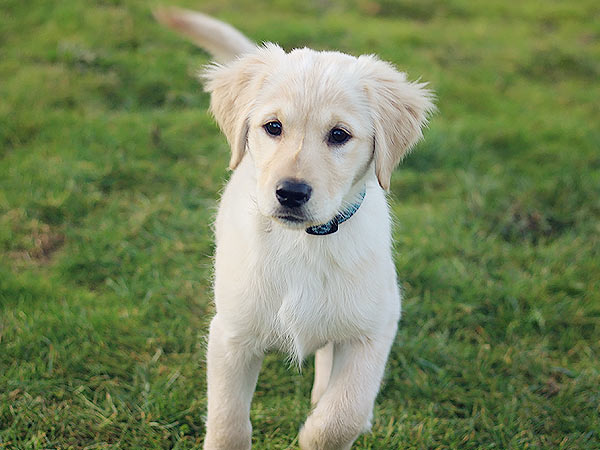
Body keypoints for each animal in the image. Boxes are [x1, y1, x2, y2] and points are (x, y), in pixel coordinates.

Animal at [155, 7, 434, 450]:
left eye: (339, 135)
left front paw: (321, 428)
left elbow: (343, 414)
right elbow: (228, 422)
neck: (303, 242)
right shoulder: (231, 335)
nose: (291, 193)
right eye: (273, 127)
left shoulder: (375, 327)